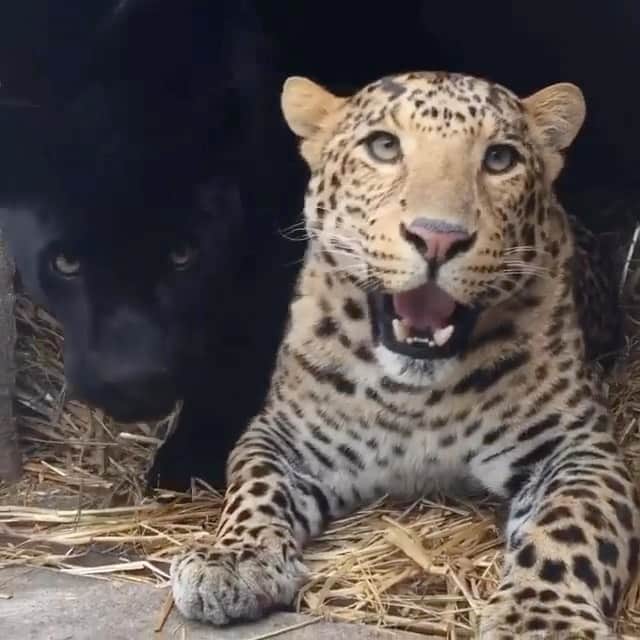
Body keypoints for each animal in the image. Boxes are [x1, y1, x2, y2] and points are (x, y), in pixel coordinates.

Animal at [170, 71, 640, 639]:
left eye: (499, 158)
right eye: (384, 147)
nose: (438, 237)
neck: (418, 396)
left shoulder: (576, 446)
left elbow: (569, 525)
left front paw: (541, 617)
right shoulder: (281, 433)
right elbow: (255, 486)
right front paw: (231, 559)